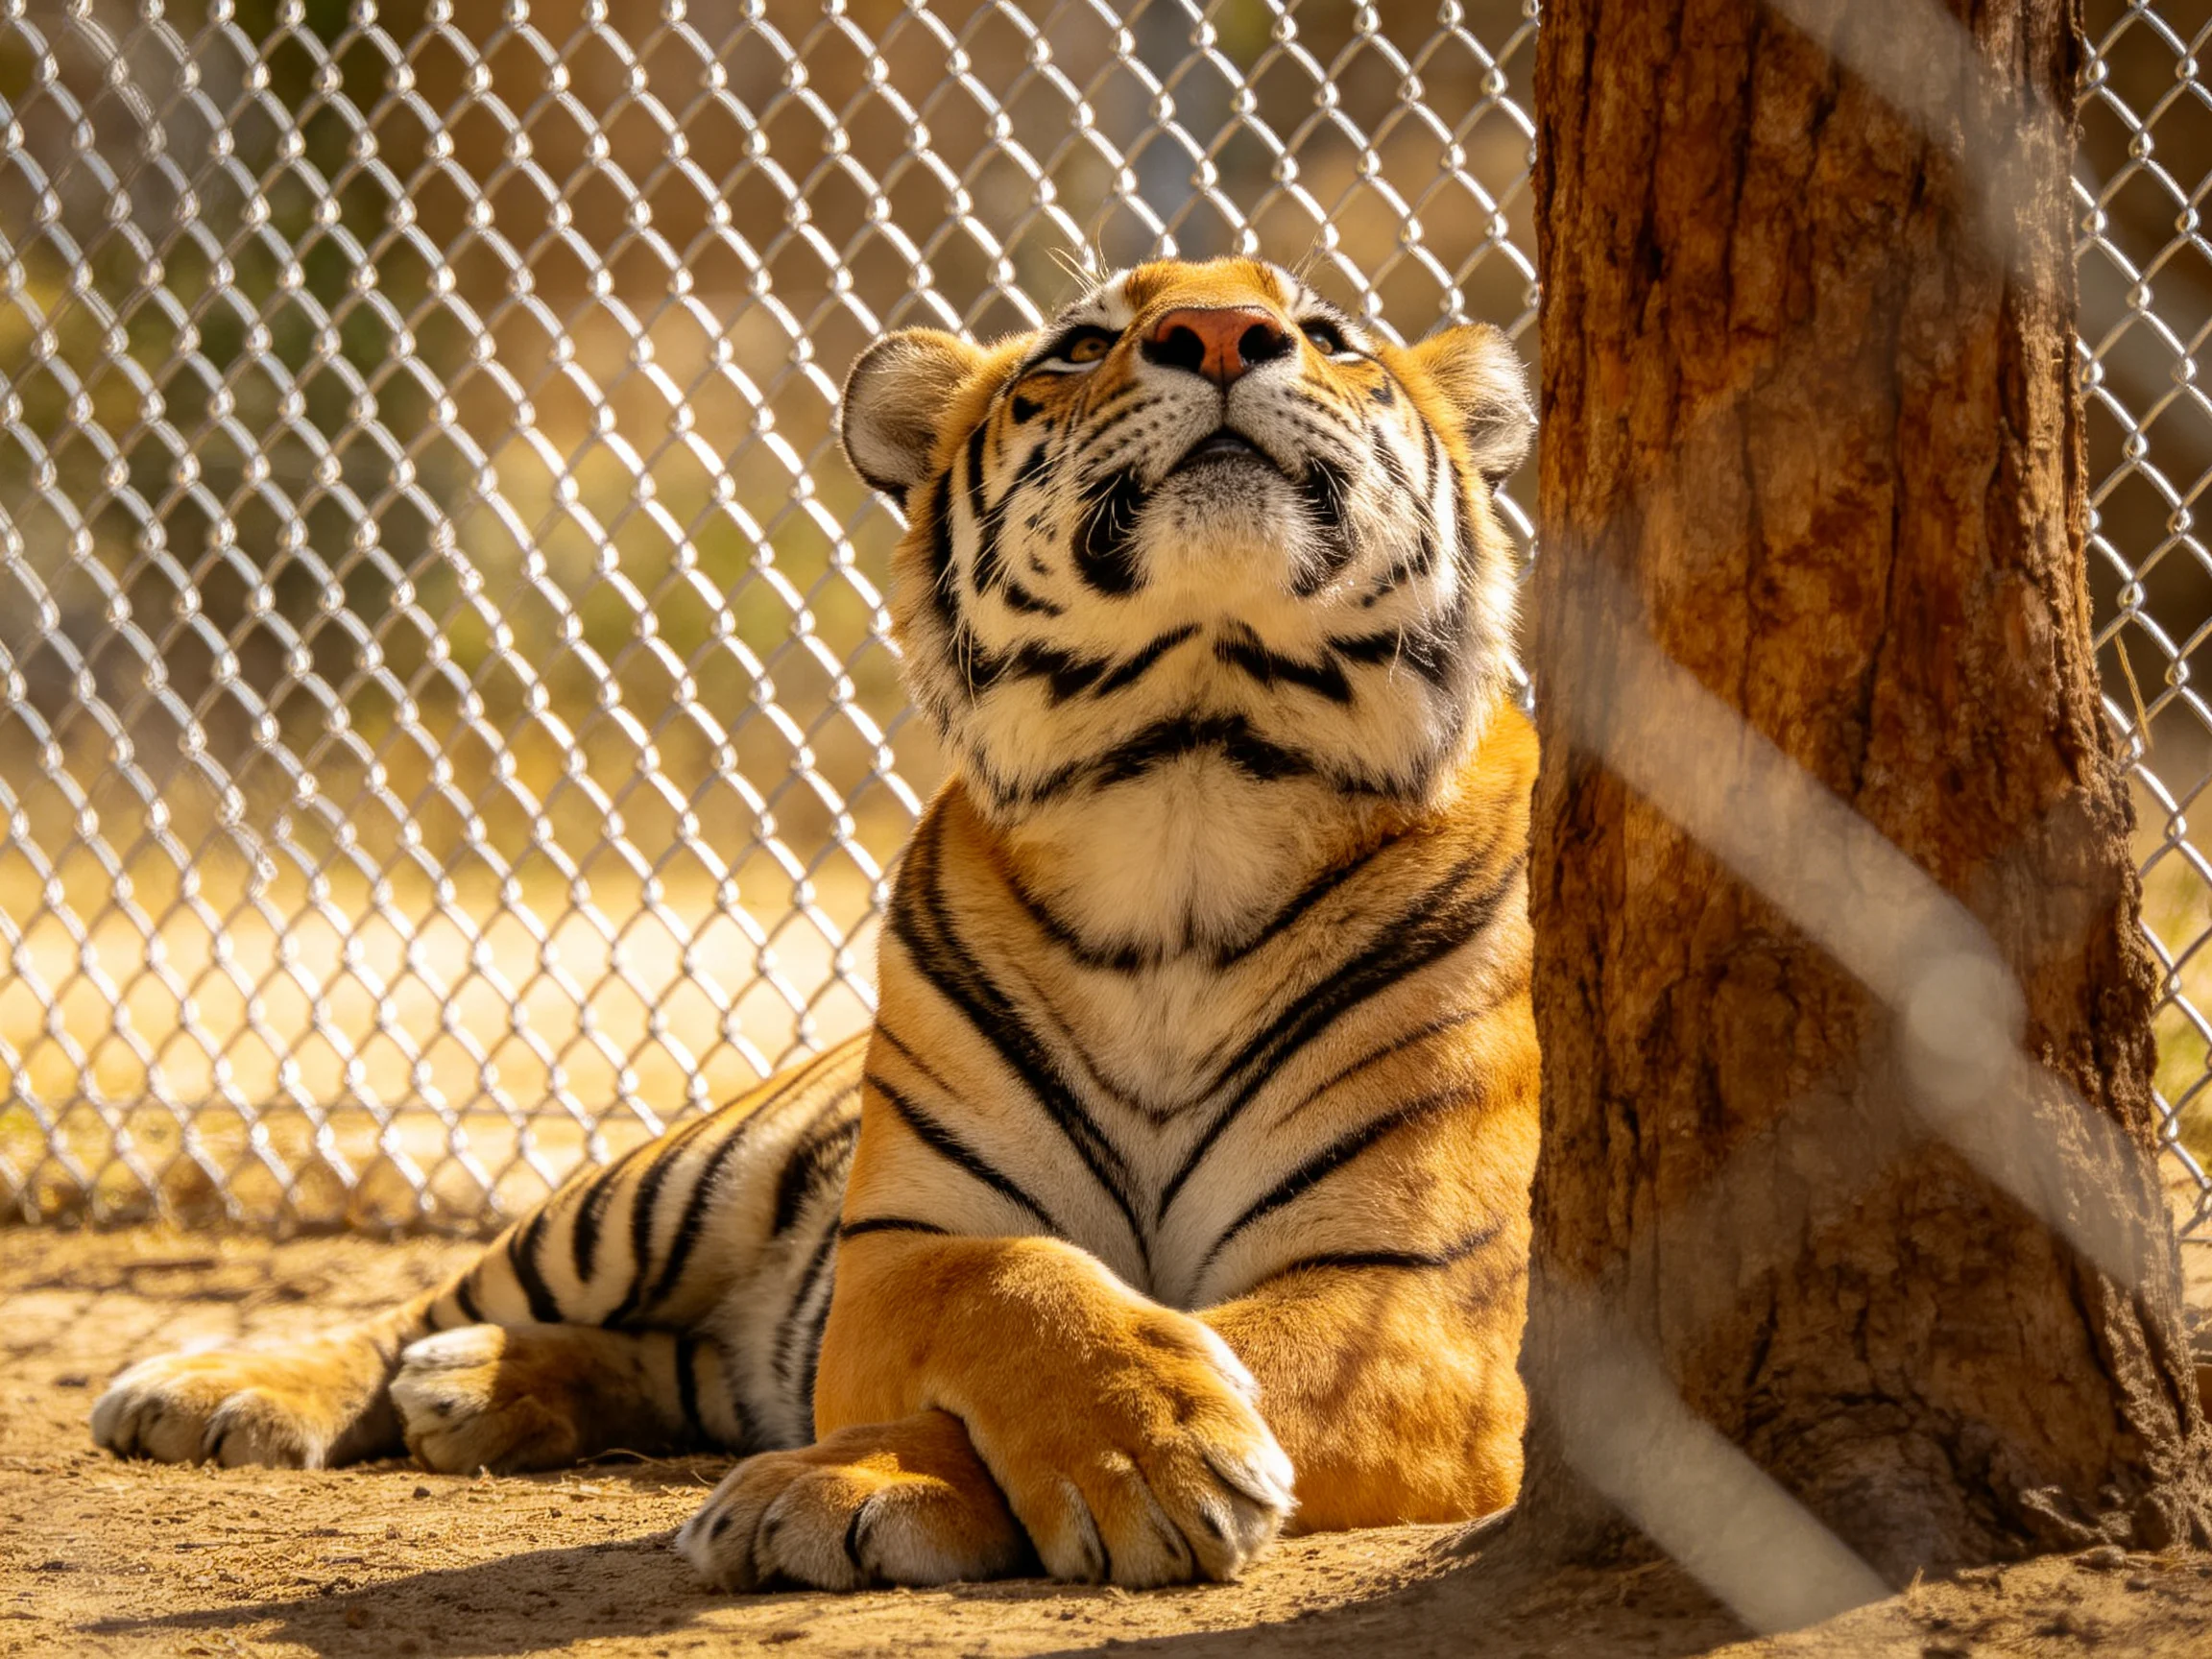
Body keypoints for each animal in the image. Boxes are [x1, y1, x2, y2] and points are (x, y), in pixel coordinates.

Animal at [90, 256, 1540, 1592]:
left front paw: (913, 1480)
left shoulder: (1412, 1296)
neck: (1193, 773)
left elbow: (1217, 1344)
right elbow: (1018, 1281)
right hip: (654, 1192)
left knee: (677, 1362)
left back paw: (479, 1392)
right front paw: (1117, 1447)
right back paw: (227, 1390)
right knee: (417, 1309)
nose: (1225, 332)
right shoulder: (903, 1249)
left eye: (1331, 335)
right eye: (1081, 345)